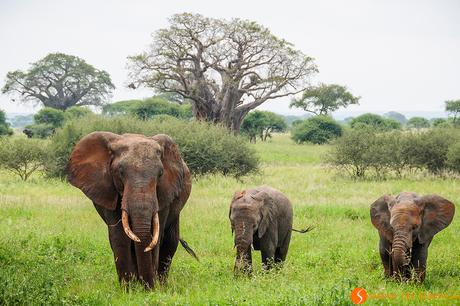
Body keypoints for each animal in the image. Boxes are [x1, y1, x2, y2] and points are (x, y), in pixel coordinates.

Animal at [67, 132, 196, 290]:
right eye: (120, 172)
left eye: (160, 174)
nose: (149, 288)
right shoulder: (109, 190)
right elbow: (119, 237)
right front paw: (128, 290)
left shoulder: (164, 193)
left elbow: (155, 235)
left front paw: (150, 289)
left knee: (170, 240)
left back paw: (161, 285)